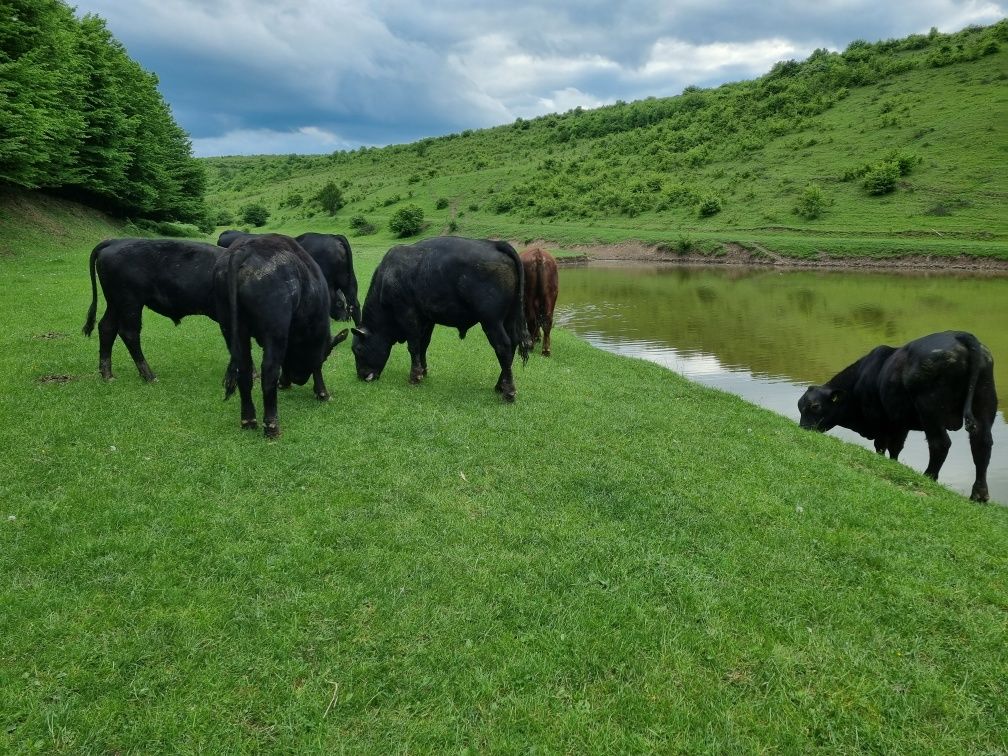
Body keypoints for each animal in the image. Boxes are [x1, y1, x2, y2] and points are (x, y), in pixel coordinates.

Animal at [80, 239, 226, 381]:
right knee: (129, 333)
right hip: (130, 302)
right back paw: (149, 376)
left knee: (107, 327)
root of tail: (115, 241)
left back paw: (107, 375)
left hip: (115, 303)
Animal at [214, 235, 348, 437]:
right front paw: (322, 393)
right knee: (269, 372)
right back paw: (271, 425)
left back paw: (248, 420)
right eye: (327, 355)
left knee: (244, 370)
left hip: (231, 329)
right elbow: (316, 365)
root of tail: (245, 250)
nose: (298, 379)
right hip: (275, 330)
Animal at [350, 236, 532, 403]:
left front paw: (414, 376)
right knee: (513, 344)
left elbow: (413, 345)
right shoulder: (427, 319)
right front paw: (423, 371)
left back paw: (508, 391)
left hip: (491, 321)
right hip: (509, 318)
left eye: (358, 349)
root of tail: (495, 244)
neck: (388, 276)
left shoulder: (407, 314)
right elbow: (423, 344)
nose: (361, 376)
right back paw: (499, 385)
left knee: (504, 347)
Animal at [798, 330, 995, 504]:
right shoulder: (900, 424)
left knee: (940, 443)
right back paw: (979, 495)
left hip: (930, 409)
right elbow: (896, 448)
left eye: (815, 406)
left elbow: (881, 446)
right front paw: (894, 465)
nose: (803, 429)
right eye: (800, 407)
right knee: (981, 443)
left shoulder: (881, 422)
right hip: (983, 403)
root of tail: (959, 335)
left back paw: (928, 477)